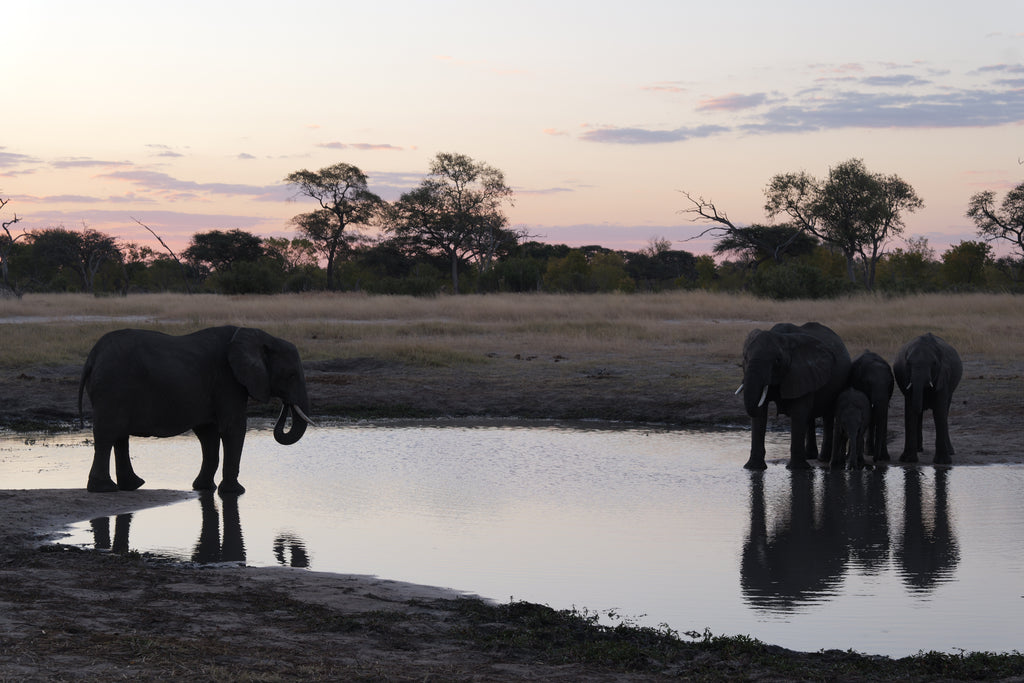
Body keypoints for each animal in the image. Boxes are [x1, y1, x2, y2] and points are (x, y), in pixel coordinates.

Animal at [78, 326, 315, 495]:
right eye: (291, 375)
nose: (286, 404)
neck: (259, 335)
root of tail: (92, 356)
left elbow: (208, 433)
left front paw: (204, 488)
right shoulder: (228, 380)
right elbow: (233, 428)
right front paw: (236, 492)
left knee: (119, 435)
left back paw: (132, 485)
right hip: (113, 386)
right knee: (108, 434)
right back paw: (104, 489)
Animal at [739, 322, 851, 470]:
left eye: (777, 360)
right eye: (745, 358)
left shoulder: (803, 372)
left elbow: (799, 413)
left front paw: (797, 469)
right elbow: (760, 412)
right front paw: (753, 468)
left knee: (827, 415)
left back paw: (822, 458)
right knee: (810, 417)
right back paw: (810, 456)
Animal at [892, 333, 962, 464]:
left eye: (934, 363)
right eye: (908, 364)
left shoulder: (943, 376)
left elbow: (939, 411)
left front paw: (943, 462)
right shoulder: (906, 377)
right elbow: (910, 412)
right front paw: (908, 460)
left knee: (945, 411)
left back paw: (950, 451)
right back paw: (919, 449)